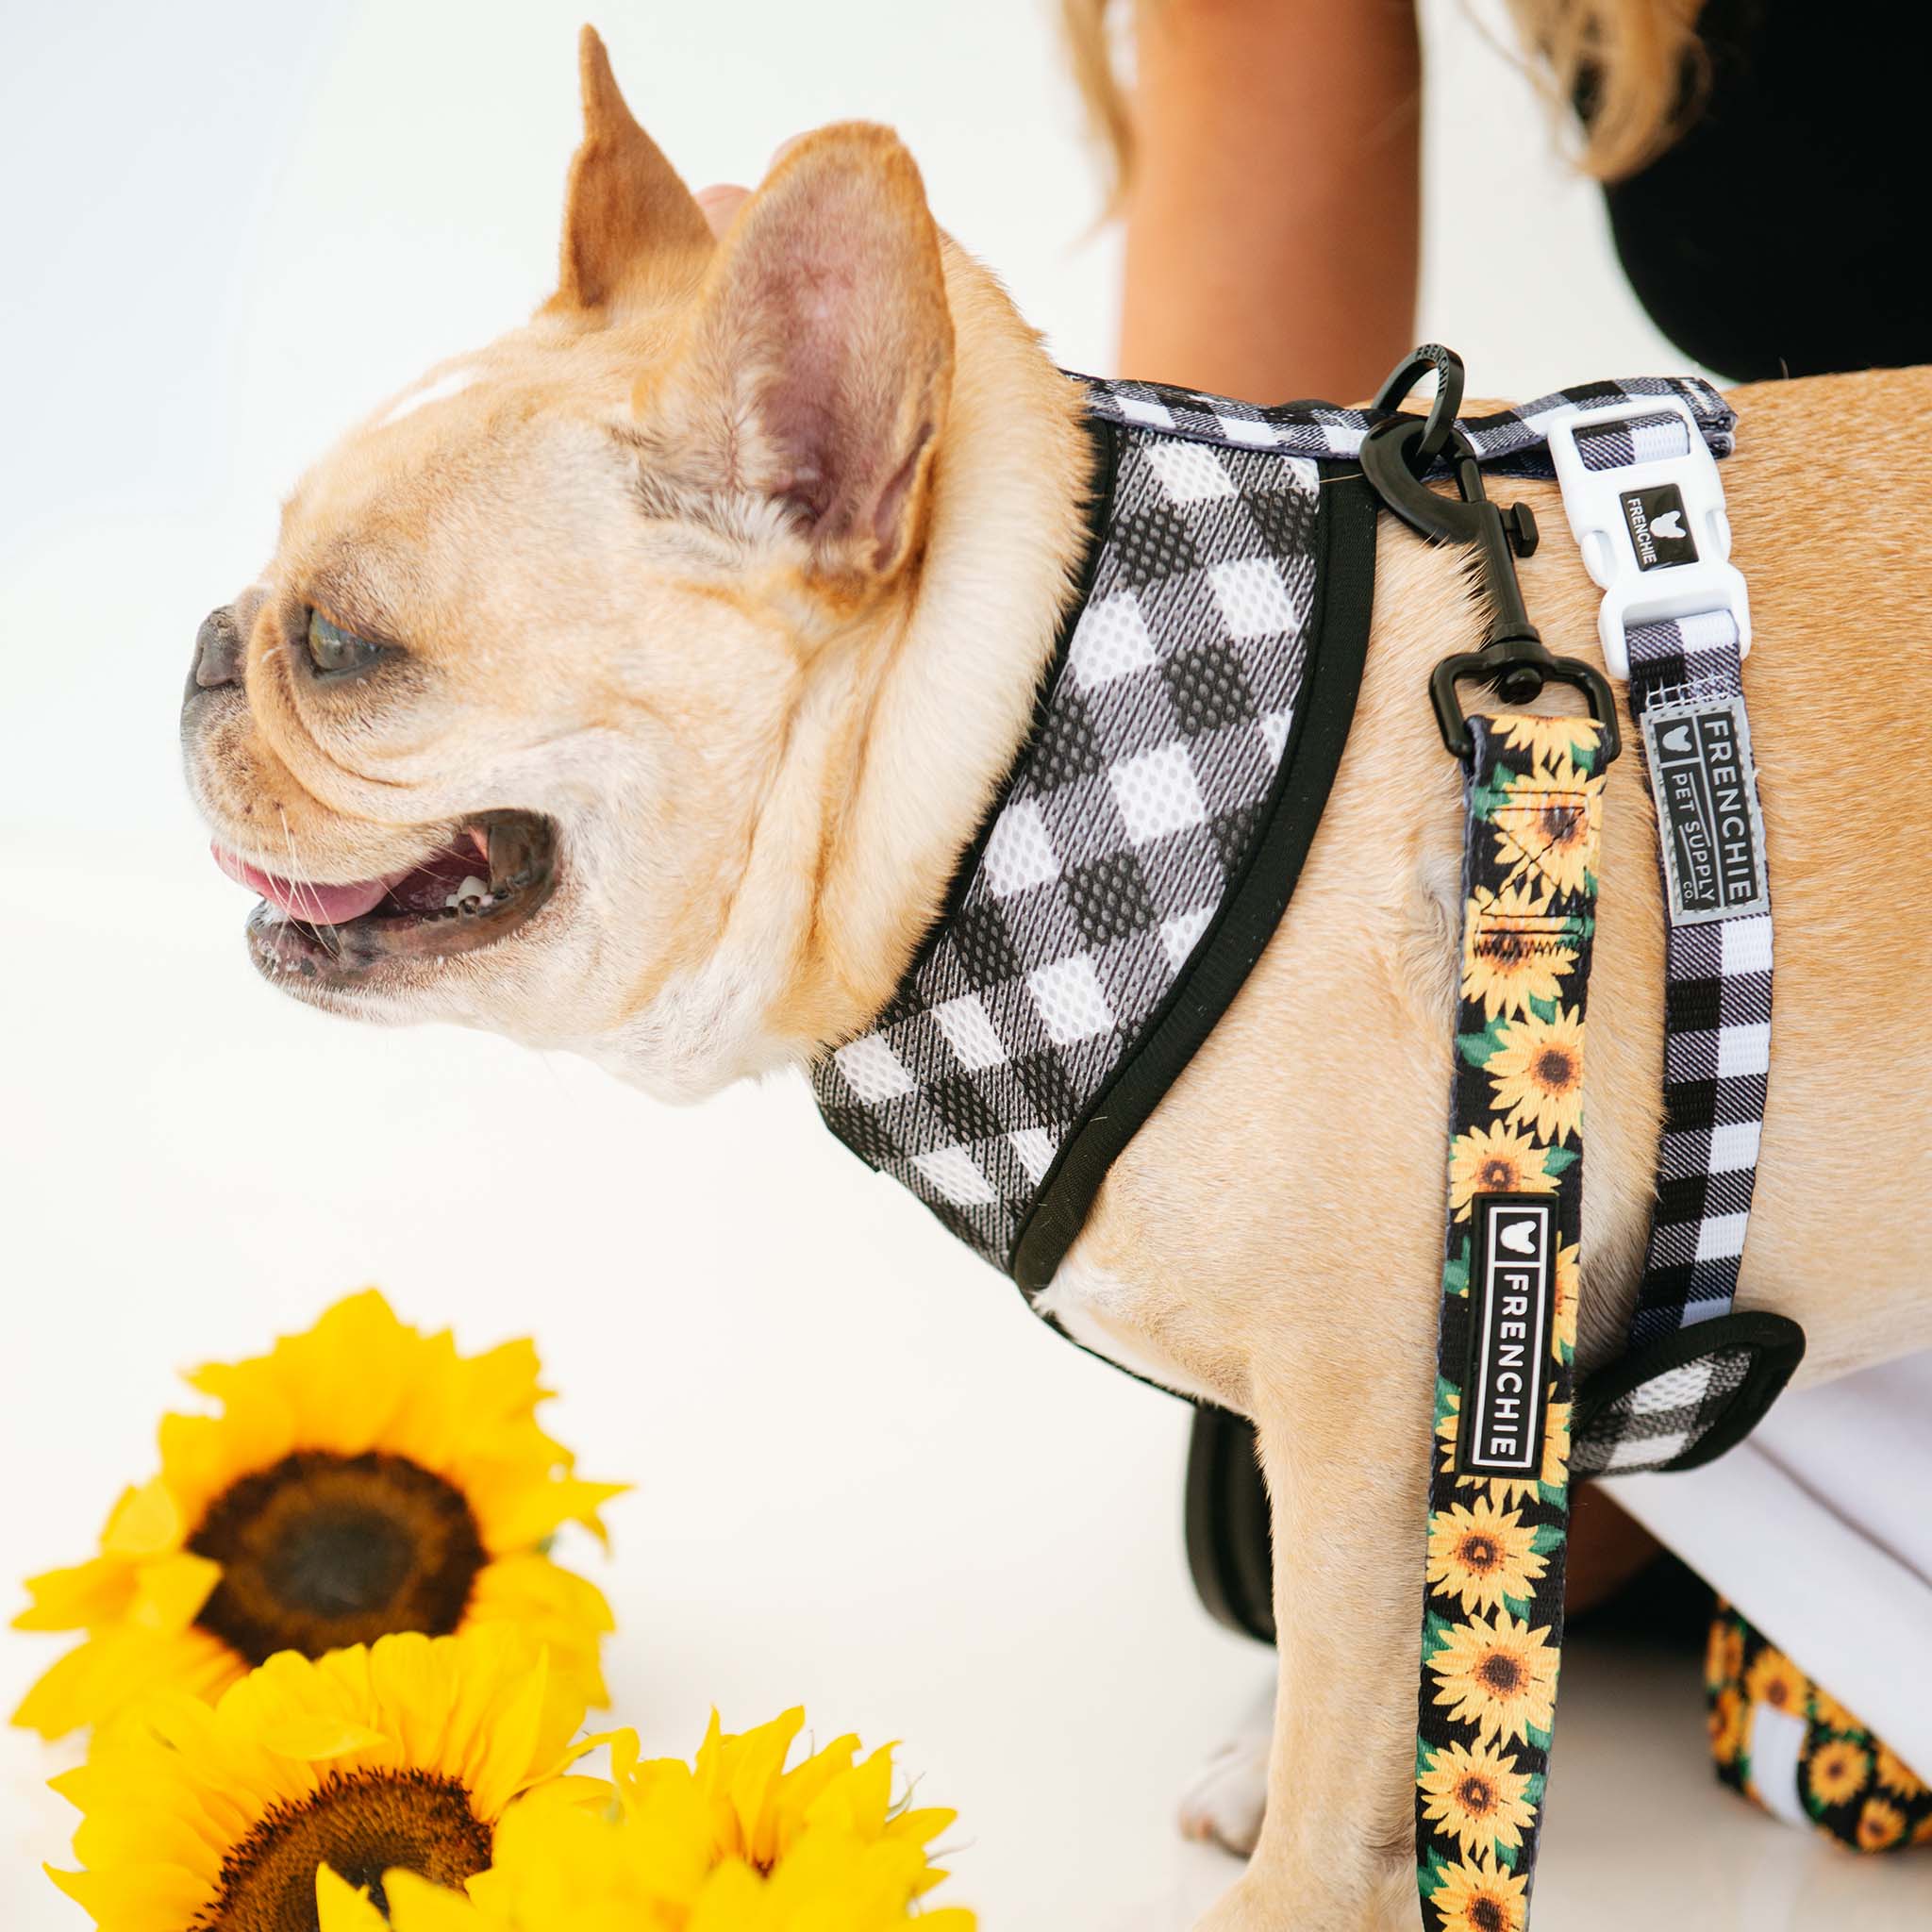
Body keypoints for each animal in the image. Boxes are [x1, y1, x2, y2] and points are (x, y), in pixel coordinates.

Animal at [180, 29, 1932, 1929]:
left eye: (342, 647)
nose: (206, 643)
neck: (1013, 737)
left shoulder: (1375, 1420)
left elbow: (1342, 1719)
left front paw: (1297, 1880)